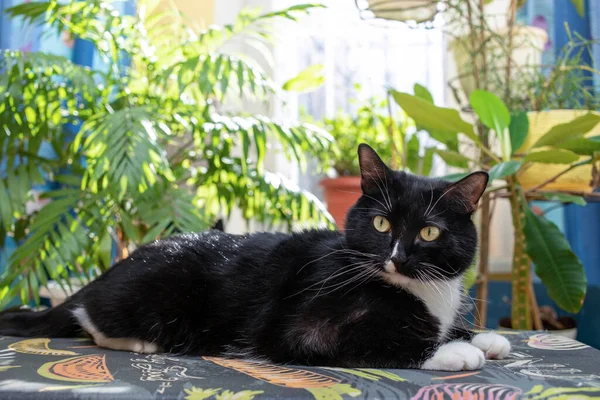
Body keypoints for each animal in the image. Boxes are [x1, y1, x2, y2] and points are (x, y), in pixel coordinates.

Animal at [0, 144, 510, 372]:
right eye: (383, 224)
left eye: (429, 231)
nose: (397, 257)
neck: (422, 291)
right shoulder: (304, 329)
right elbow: (384, 342)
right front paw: (454, 351)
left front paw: (482, 337)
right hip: (159, 290)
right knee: (92, 321)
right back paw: (141, 342)